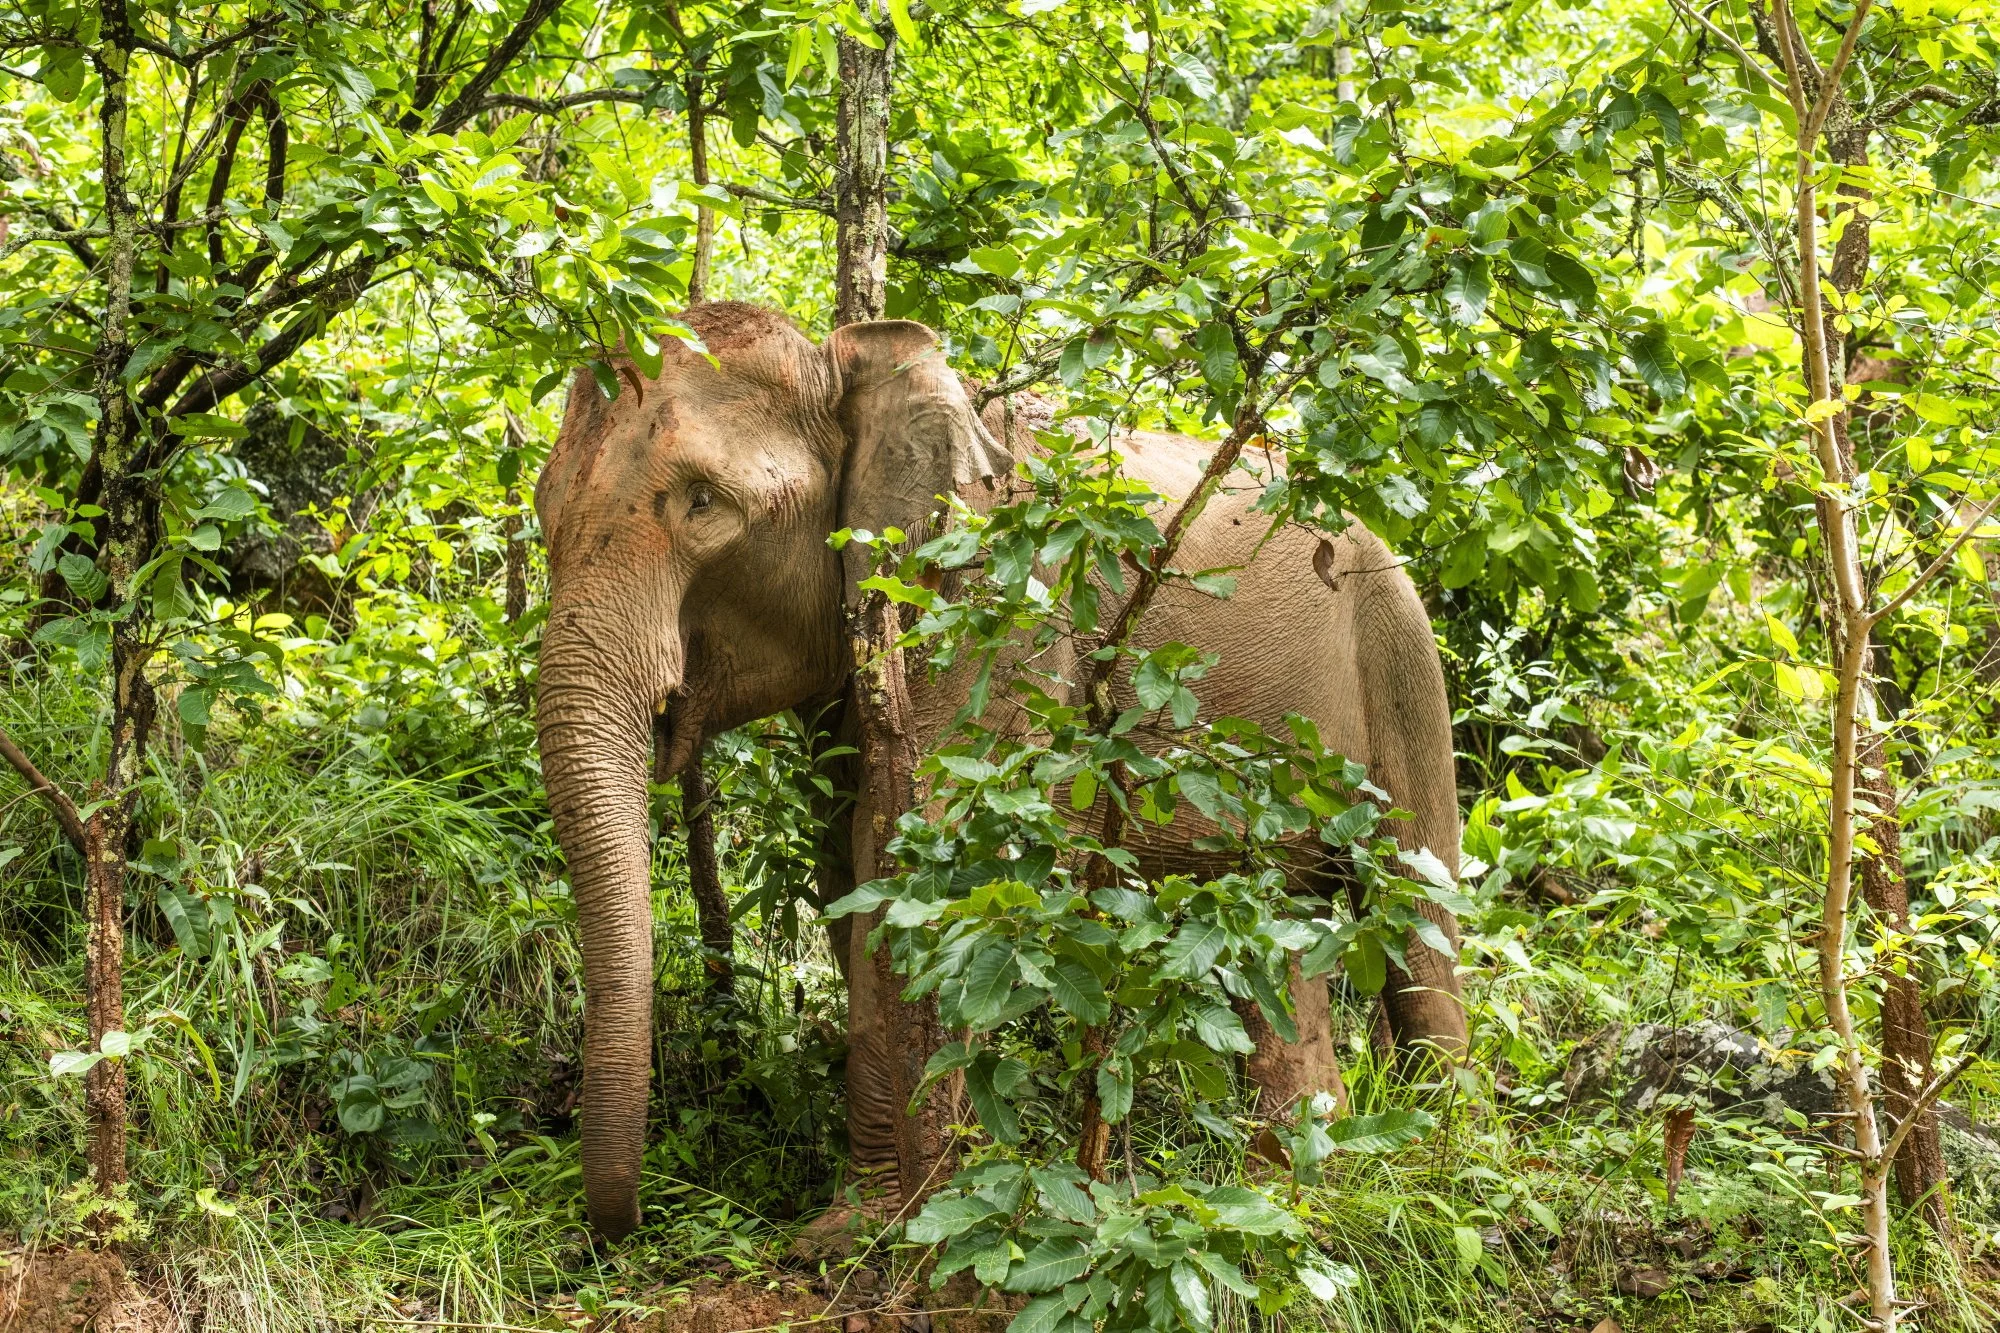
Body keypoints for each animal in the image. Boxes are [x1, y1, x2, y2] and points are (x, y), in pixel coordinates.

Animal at [533, 301, 1466, 1240]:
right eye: (542, 509)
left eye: (704, 503)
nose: (625, 1225)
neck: (855, 361)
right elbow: (851, 869)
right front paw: (878, 1212)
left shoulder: (999, 610)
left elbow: (919, 863)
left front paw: (873, 1228)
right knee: (1280, 931)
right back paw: (1292, 1188)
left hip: (1404, 654)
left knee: (1417, 917)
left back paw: (1438, 1159)